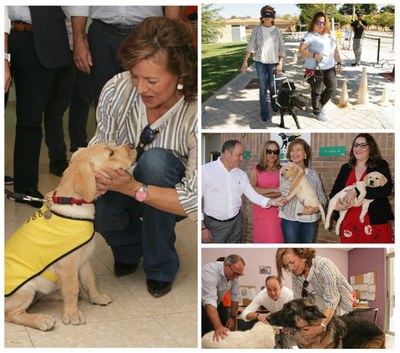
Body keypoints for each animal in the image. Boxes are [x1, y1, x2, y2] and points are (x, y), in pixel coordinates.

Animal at [4, 142, 137, 330]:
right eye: (110, 153)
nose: (132, 144)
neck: (74, 202)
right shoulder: (67, 266)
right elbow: (72, 288)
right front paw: (72, 314)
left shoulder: (84, 259)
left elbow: (90, 281)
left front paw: (97, 298)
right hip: (26, 290)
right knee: (12, 314)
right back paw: (41, 320)